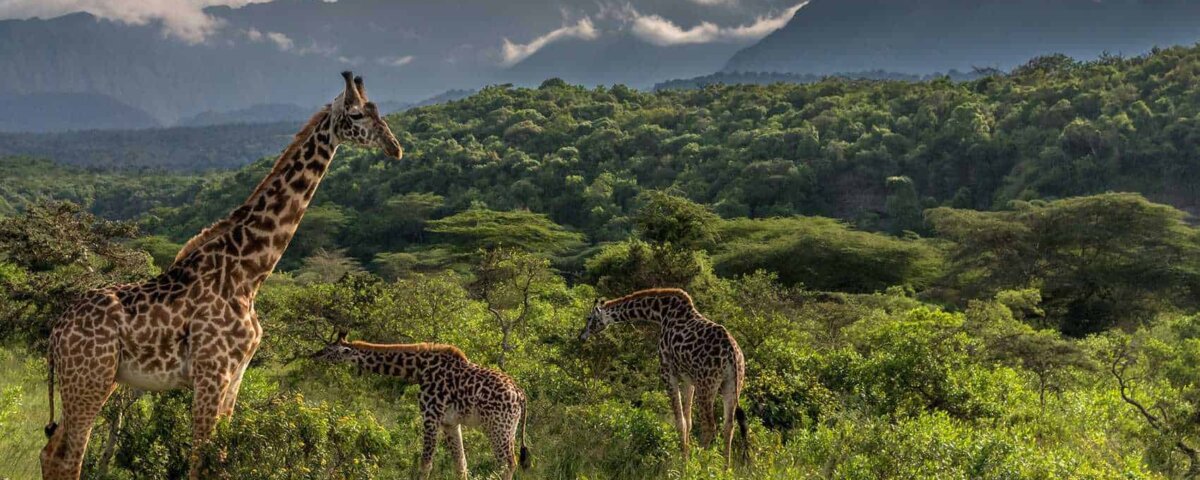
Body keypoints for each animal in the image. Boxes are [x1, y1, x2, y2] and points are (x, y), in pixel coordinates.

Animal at [39, 71, 402, 480]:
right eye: (356, 115)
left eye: (378, 110)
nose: (394, 148)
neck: (248, 273)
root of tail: (56, 333)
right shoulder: (212, 372)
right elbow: (200, 459)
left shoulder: (235, 375)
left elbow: (221, 458)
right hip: (91, 379)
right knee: (69, 457)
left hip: (95, 380)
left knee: (51, 452)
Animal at [311, 333, 531, 480]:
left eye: (329, 350)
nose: (314, 355)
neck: (419, 369)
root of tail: (520, 394)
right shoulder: (450, 422)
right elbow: (460, 464)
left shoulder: (430, 416)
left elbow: (425, 463)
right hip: (510, 428)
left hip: (497, 427)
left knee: (507, 463)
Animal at [578, 288, 748, 466]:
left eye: (589, 318)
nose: (581, 336)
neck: (660, 313)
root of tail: (732, 352)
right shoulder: (689, 379)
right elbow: (688, 421)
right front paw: (686, 456)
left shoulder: (667, 372)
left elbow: (680, 421)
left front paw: (684, 463)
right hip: (732, 385)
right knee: (728, 426)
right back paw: (726, 468)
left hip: (707, 384)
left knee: (709, 426)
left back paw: (701, 464)